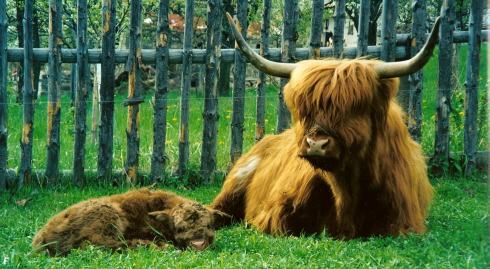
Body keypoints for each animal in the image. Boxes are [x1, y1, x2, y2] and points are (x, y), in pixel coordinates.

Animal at [32, 187, 232, 256]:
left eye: (208, 225)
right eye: (180, 228)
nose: (198, 243)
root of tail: (41, 238)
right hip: (108, 215)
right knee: (100, 245)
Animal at [212, 13, 438, 239]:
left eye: (354, 108)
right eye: (305, 110)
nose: (315, 144)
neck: (346, 192)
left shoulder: (403, 222)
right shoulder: (275, 213)